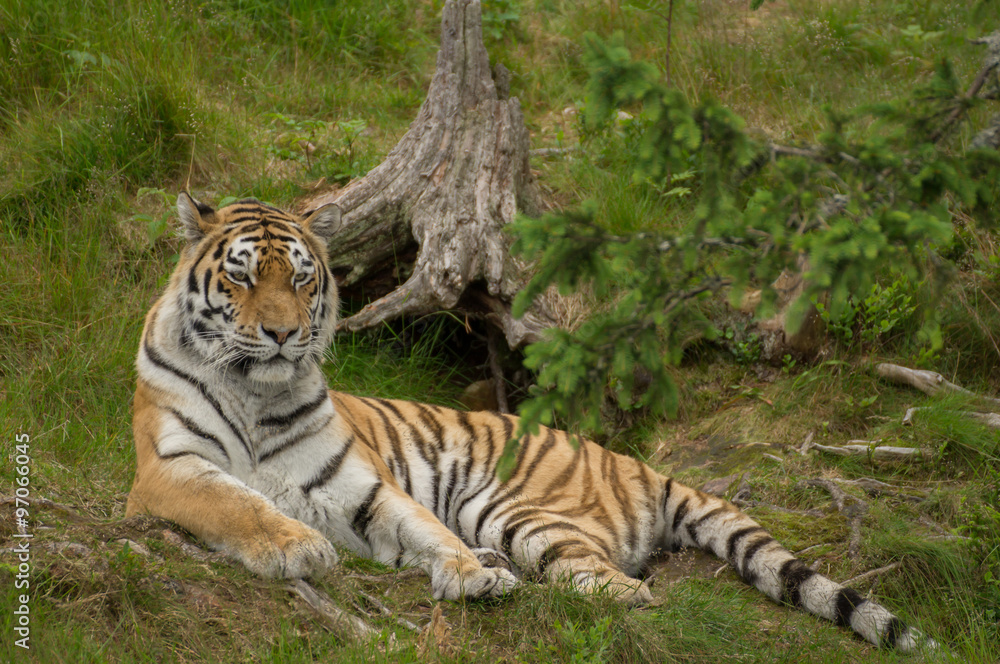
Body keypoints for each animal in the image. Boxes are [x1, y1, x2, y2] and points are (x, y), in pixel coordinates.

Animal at [126, 193, 932, 652]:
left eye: (300, 277)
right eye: (239, 275)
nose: (284, 334)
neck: (255, 393)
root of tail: (639, 460)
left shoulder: (360, 483)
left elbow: (422, 526)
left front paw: (468, 574)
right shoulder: (169, 469)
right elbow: (235, 503)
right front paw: (295, 546)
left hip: (516, 507)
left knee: (616, 584)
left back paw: (543, 578)